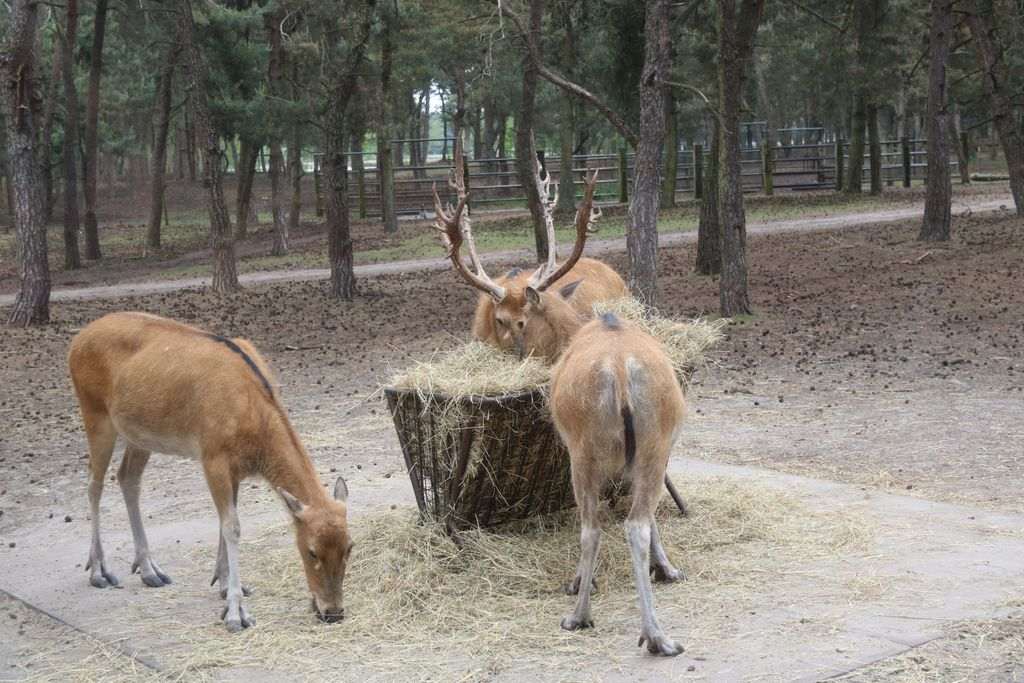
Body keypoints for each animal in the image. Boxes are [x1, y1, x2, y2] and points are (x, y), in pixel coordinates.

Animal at [68, 312, 353, 633]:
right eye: (311, 550)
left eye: (349, 547)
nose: (333, 612)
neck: (253, 423)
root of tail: (77, 341)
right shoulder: (213, 456)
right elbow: (232, 527)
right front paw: (236, 614)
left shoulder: (235, 468)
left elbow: (225, 522)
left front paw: (226, 585)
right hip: (95, 413)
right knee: (94, 484)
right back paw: (99, 571)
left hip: (139, 435)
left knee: (127, 478)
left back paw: (150, 570)